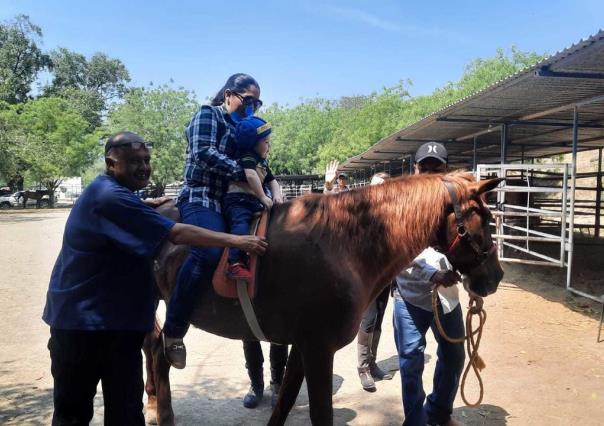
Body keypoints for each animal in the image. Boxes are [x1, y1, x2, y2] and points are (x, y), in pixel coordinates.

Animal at [144, 171, 502, 424]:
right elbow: (319, 414)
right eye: (485, 219)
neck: (342, 244)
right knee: (160, 351)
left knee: (155, 349)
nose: (495, 276)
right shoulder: (318, 349)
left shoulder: (303, 346)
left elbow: (285, 402)